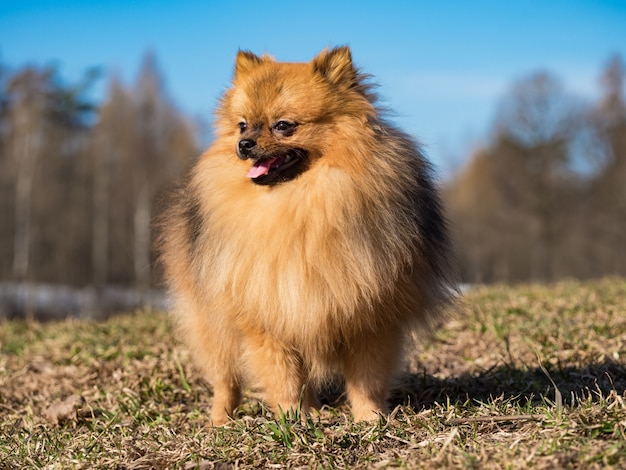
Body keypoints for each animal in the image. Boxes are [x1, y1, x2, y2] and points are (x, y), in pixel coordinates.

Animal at [158, 46, 454, 424]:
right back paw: (221, 419)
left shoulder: (371, 319)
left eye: (283, 126)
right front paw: (290, 417)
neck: (300, 202)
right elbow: (282, 376)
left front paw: (370, 418)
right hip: (214, 324)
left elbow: (366, 378)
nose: (244, 144)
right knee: (226, 378)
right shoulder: (268, 318)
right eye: (242, 124)